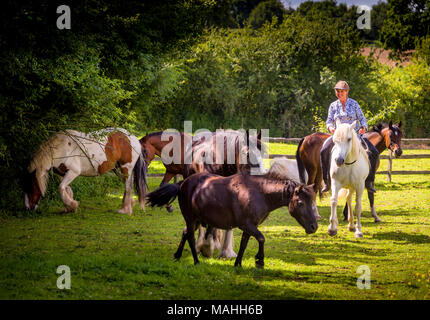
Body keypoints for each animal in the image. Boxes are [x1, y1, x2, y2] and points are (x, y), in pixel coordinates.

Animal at [146, 170, 318, 268]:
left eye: (312, 201)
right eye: (301, 203)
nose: (314, 227)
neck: (260, 193)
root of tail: (183, 183)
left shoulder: (250, 227)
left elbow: (244, 244)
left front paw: (238, 264)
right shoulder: (247, 225)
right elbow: (261, 239)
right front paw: (259, 260)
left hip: (195, 220)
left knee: (185, 233)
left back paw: (177, 255)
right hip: (191, 218)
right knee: (190, 237)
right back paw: (196, 261)